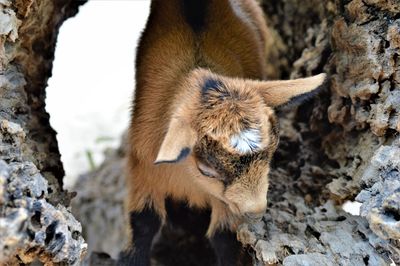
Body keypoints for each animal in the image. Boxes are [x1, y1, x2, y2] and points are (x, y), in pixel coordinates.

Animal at [119, 1, 324, 264]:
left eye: (271, 154)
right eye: (207, 169)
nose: (256, 211)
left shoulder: (227, 203)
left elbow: (225, 238)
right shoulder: (143, 172)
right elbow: (143, 223)